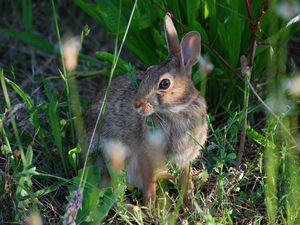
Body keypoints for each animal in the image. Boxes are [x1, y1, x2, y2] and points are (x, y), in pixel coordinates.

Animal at [84, 14, 206, 207]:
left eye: (165, 83)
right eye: (147, 71)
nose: (137, 104)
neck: (176, 110)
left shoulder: (185, 157)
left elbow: (185, 179)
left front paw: (190, 202)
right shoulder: (146, 155)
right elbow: (149, 183)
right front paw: (150, 206)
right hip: (112, 157)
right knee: (110, 191)